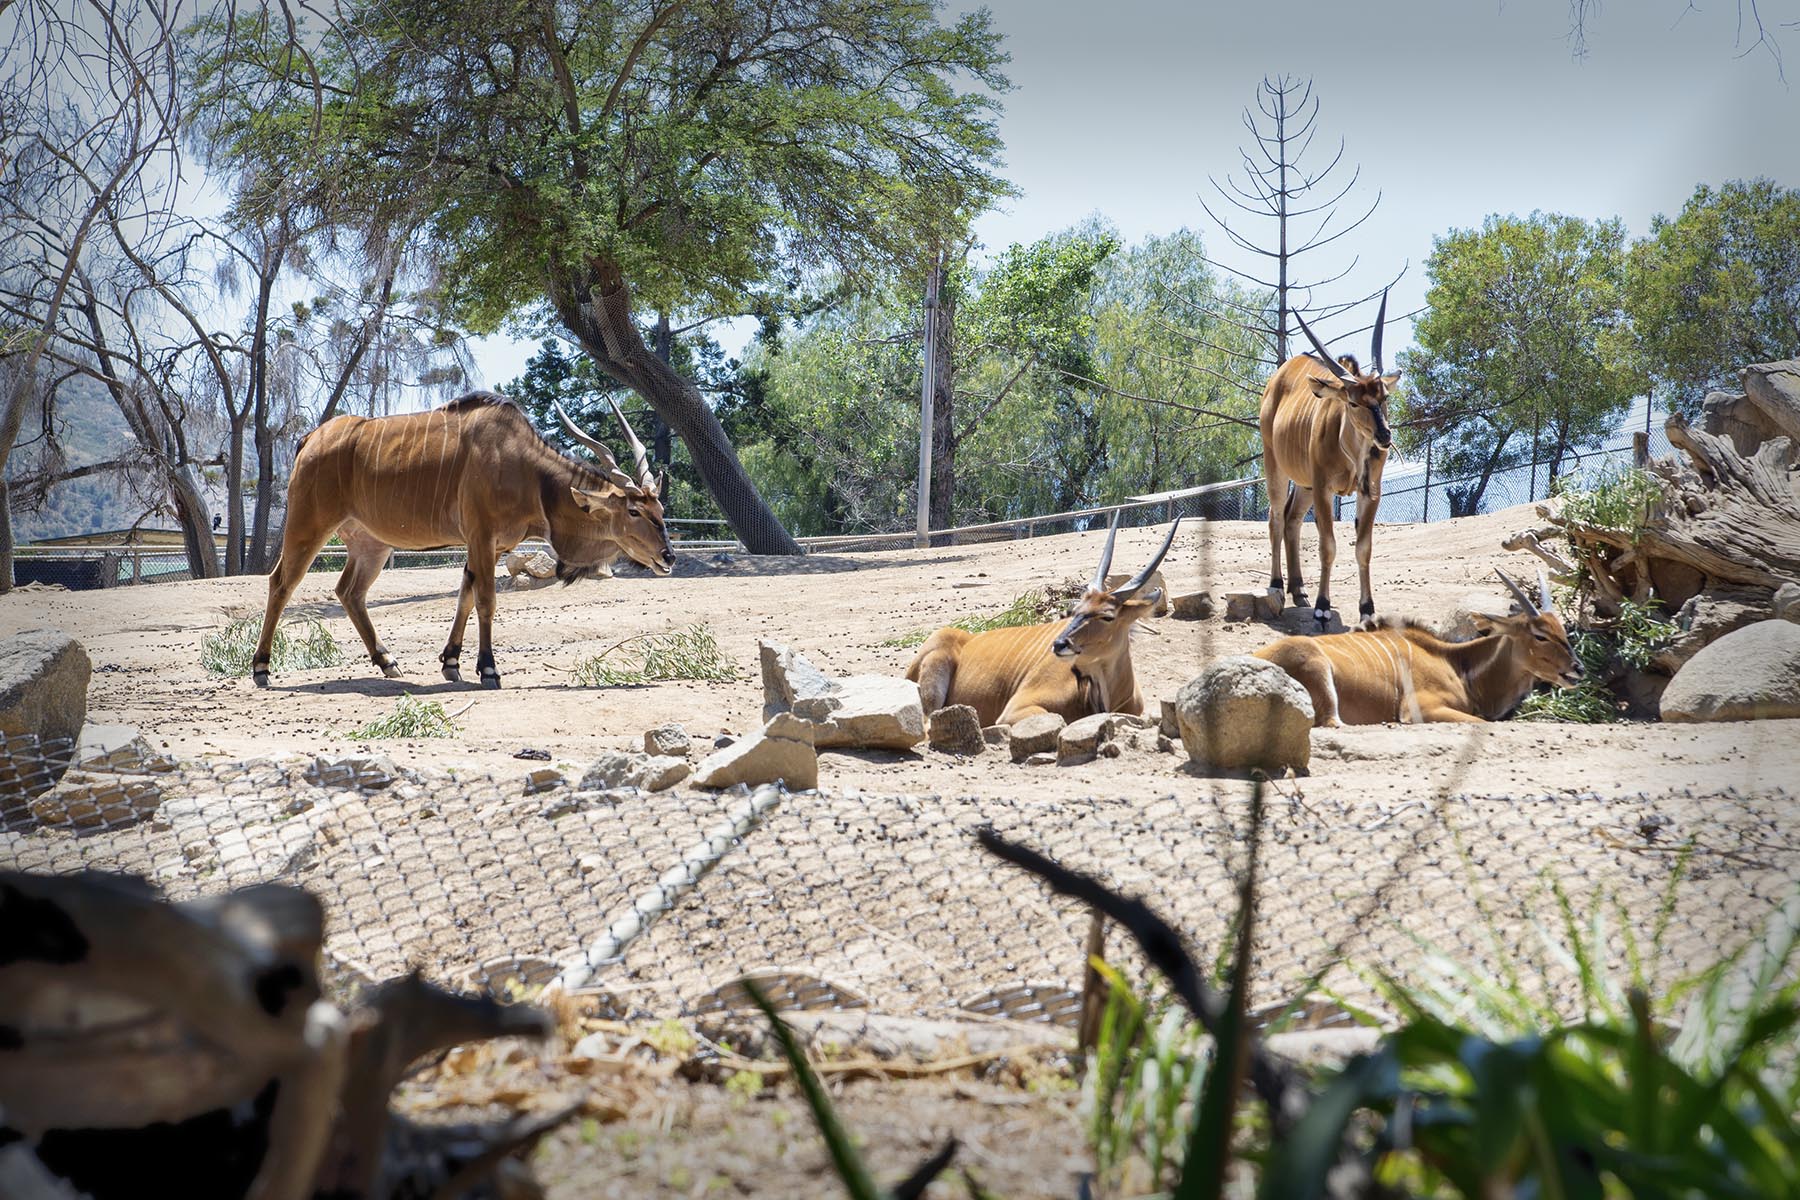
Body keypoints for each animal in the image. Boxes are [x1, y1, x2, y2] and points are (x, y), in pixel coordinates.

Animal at [250, 394, 673, 690]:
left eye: (660, 508)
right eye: (633, 512)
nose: (668, 557)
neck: (526, 469)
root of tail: (310, 439)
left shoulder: (490, 545)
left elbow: (466, 596)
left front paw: (451, 662)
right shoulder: (482, 537)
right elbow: (486, 600)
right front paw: (488, 669)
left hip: (373, 544)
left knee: (349, 591)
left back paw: (387, 661)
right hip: (308, 525)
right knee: (281, 583)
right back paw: (261, 667)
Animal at [1260, 295, 1396, 626]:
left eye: (1384, 397)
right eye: (1353, 402)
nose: (1384, 436)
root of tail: (1279, 377)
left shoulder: (1370, 491)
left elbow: (1363, 548)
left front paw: (1367, 610)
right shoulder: (1323, 488)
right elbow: (1327, 546)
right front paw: (1323, 608)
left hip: (1305, 485)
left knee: (1292, 519)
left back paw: (1299, 590)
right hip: (1276, 467)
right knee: (1276, 516)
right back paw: (1277, 586)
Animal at [1260, 572, 1584, 726]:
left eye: (1561, 630)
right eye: (1540, 635)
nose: (1578, 668)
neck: (1458, 664)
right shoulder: (1423, 708)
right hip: (1318, 669)